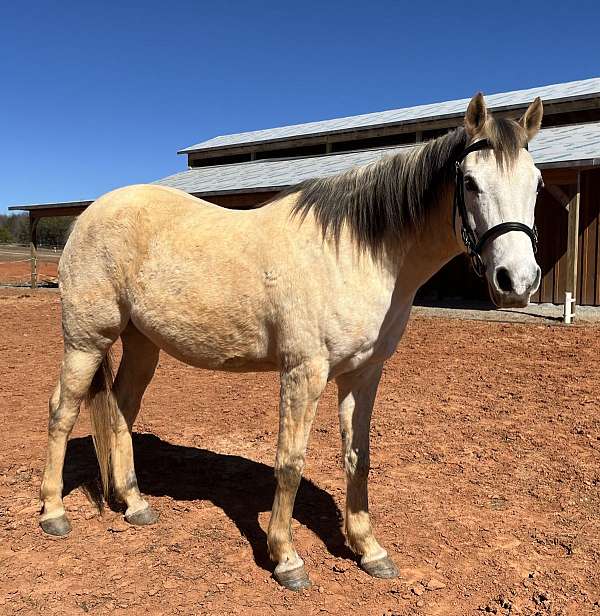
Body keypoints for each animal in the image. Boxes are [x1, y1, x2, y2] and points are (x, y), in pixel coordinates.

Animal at [37, 94, 544, 588]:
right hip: (86, 341)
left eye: (537, 184)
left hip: (142, 343)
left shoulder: (364, 373)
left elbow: (358, 457)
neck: (354, 254)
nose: (517, 281)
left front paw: (369, 550)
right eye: (471, 183)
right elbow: (290, 463)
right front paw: (286, 558)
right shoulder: (305, 372)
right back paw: (54, 514)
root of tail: (90, 214)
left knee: (122, 407)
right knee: (63, 411)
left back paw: (135, 504)